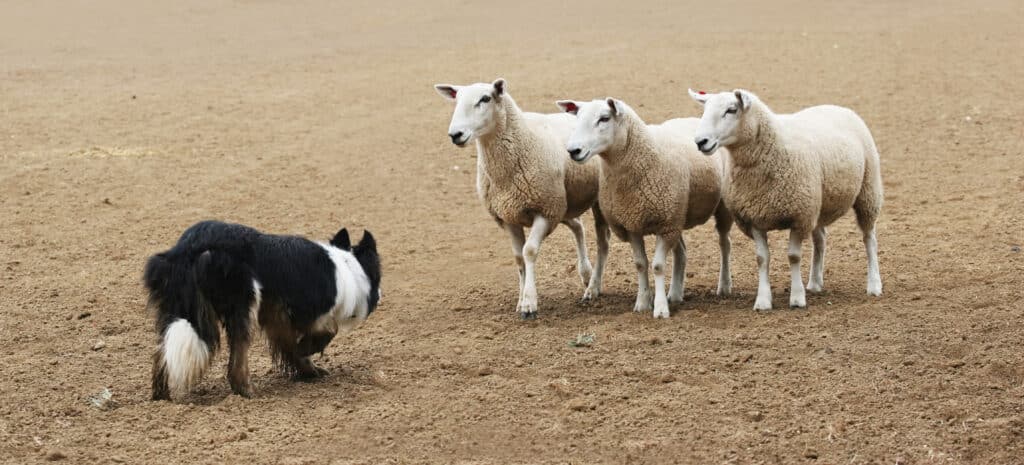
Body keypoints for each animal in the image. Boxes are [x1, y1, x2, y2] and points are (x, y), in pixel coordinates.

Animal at [142, 220, 382, 399]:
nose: (380, 295)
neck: (346, 266)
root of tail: (188, 248)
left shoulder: (277, 316)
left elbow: (291, 346)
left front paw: (308, 370)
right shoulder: (310, 311)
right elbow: (328, 331)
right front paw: (307, 351)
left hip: (177, 308)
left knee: (162, 353)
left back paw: (162, 396)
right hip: (244, 304)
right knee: (237, 359)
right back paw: (247, 391)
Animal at [432, 79, 606, 319]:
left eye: (485, 98)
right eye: (456, 99)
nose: (455, 134)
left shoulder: (544, 211)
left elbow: (529, 252)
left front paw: (529, 303)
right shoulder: (509, 216)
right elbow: (518, 258)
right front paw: (521, 299)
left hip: (580, 202)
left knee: (597, 238)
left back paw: (592, 285)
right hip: (563, 204)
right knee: (578, 226)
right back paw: (586, 274)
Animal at [557, 96, 733, 317]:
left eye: (604, 118)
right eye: (577, 117)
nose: (573, 151)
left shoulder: (665, 224)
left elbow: (657, 266)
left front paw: (660, 308)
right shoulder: (633, 223)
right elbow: (640, 264)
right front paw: (642, 303)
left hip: (716, 209)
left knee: (724, 243)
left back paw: (724, 286)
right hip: (677, 215)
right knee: (682, 253)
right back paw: (675, 294)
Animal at [692, 89, 884, 311]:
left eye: (731, 110)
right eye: (705, 110)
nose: (700, 141)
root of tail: (836, 107)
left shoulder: (799, 217)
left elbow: (793, 257)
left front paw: (797, 298)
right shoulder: (755, 218)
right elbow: (762, 259)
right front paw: (763, 300)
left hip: (868, 191)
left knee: (869, 239)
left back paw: (874, 284)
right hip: (817, 203)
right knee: (821, 239)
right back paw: (815, 283)